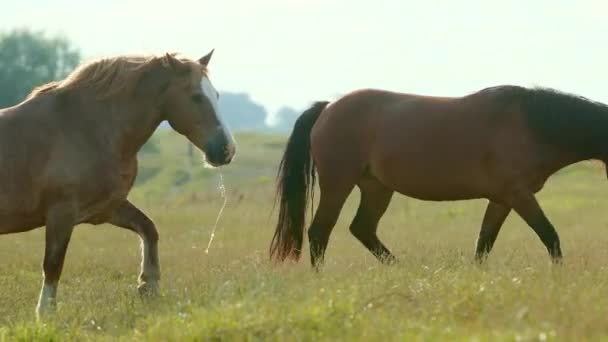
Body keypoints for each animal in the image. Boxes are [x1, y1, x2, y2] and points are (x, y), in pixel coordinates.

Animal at [0, 49, 235, 316]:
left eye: (216, 95)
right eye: (196, 97)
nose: (226, 150)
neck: (88, 129)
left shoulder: (106, 209)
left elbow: (148, 228)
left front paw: (148, 286)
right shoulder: (61, 213)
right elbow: (53, 265)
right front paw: (45, 313)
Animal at [272, 85, 608, 268]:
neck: (531, 125)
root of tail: (328, 108)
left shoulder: (502, 199)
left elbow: (484, 243)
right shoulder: (519, 194)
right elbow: (549, 235)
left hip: (376, 188)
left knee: (362, 228)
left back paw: (401, 269)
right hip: (338, 183)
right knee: (320, 232)